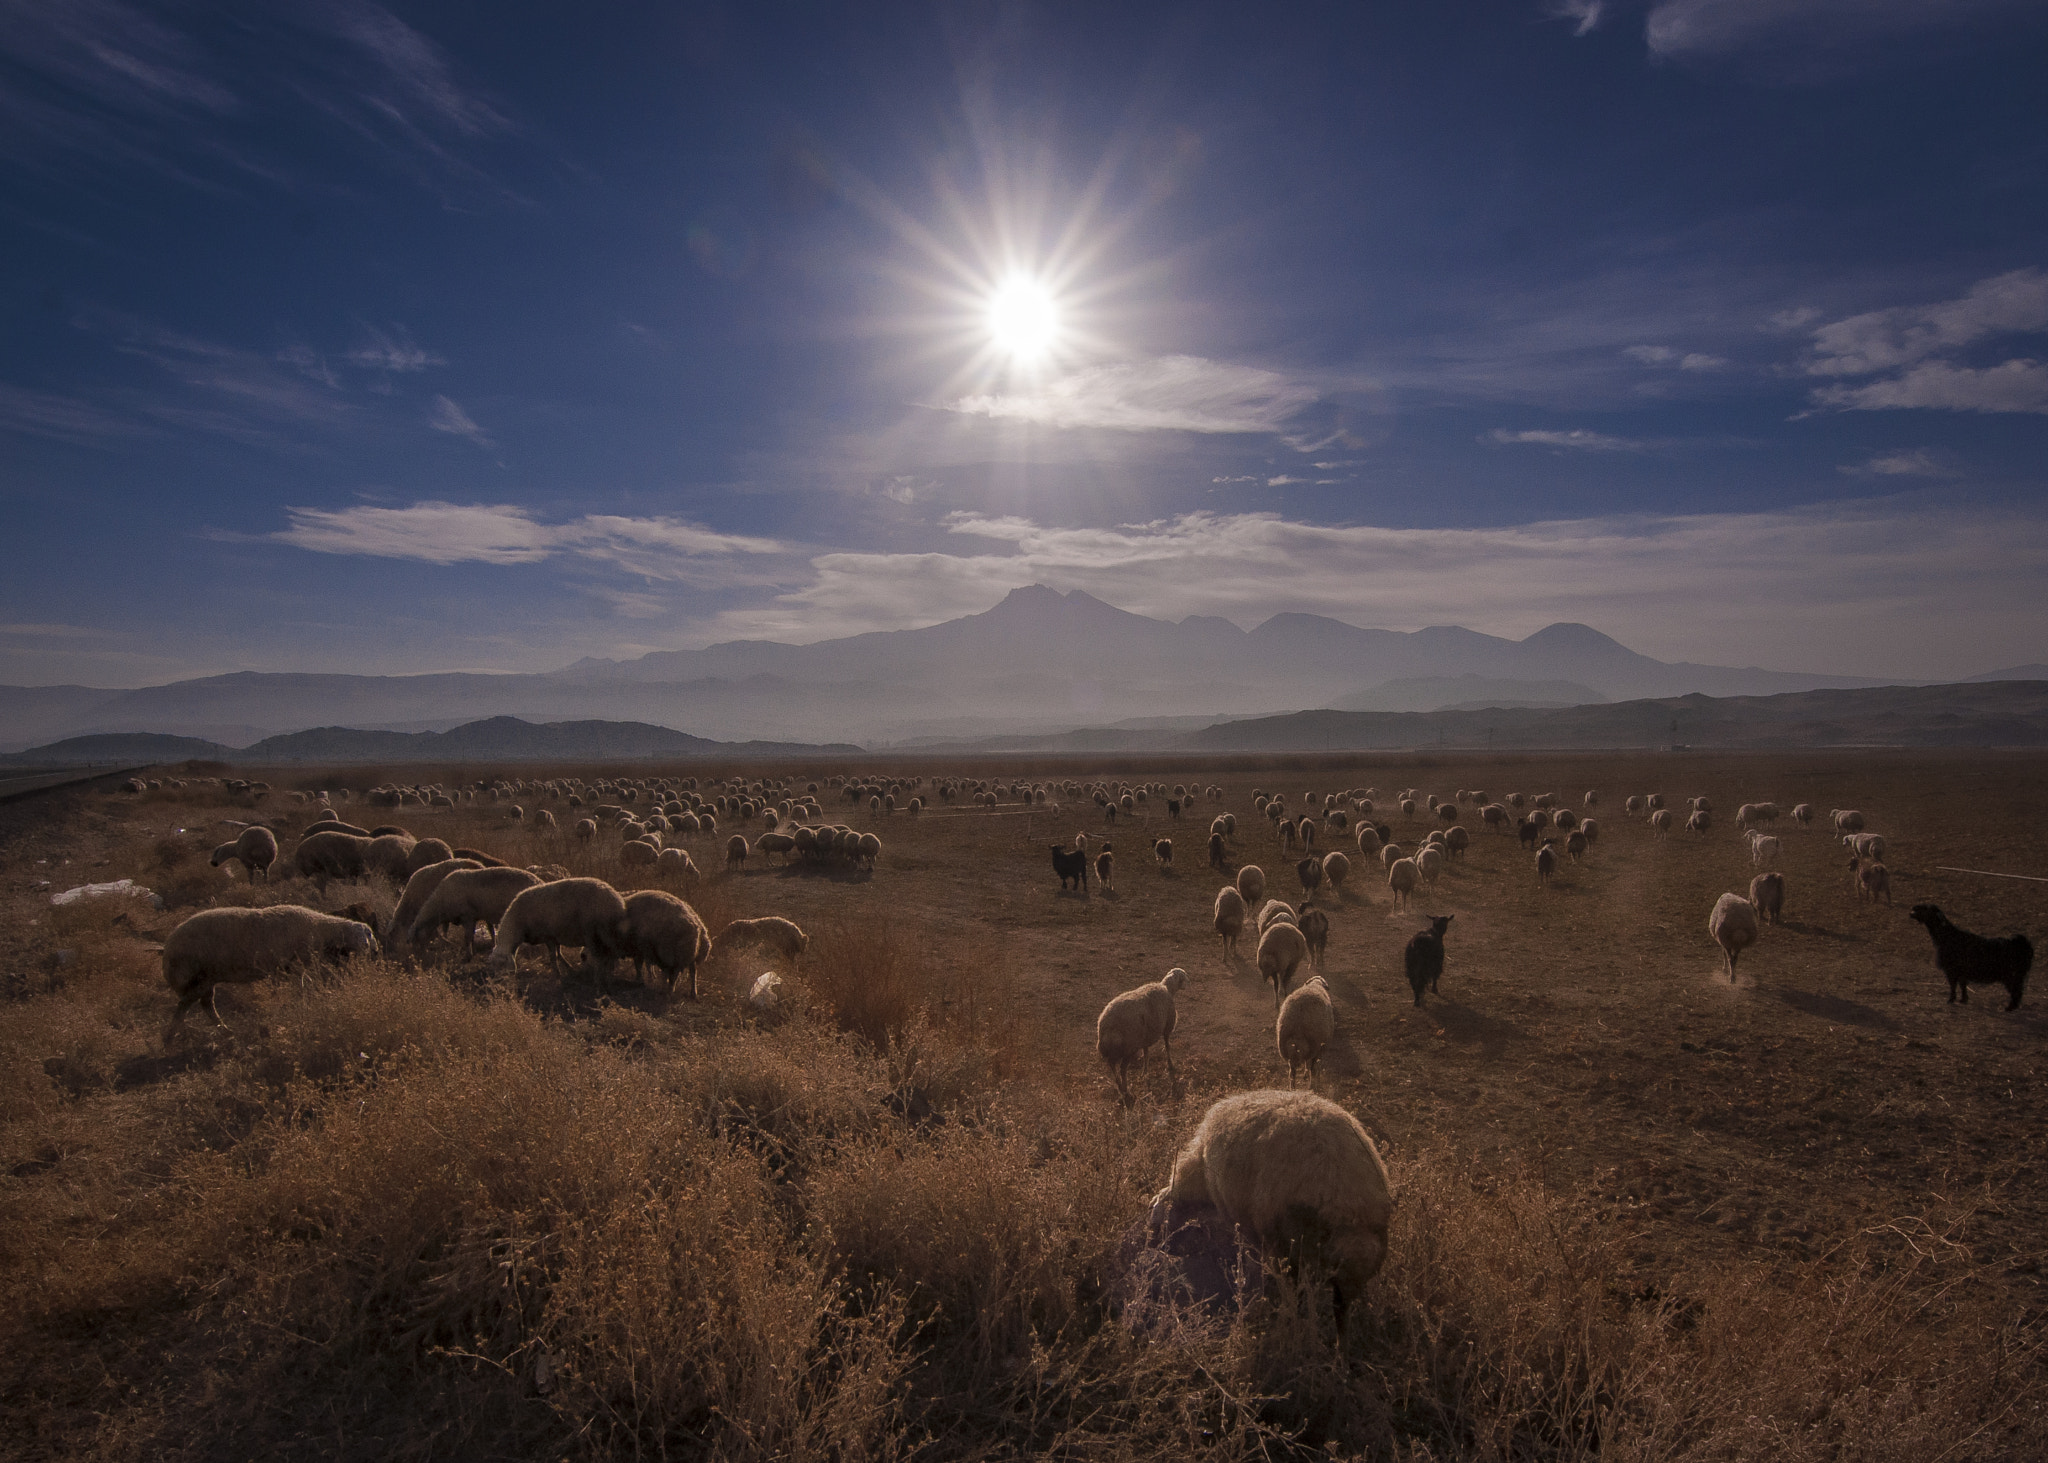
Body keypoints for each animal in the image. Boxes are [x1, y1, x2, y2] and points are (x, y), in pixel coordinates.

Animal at [161, 893, 378, 1032]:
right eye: (366, 935)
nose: (374, 950)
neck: (319, 929)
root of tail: (168, 945)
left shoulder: (290, 969)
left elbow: (301, 986)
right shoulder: (283, 968)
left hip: (206, 980)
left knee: (204, 1004)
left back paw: (223, 1031)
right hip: (194, 977)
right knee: (186, 1005)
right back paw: (172, 1037)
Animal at [489, 876, 630, 979]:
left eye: (502, 964)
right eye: (492, 965)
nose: (496, 981)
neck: (518, 924)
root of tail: (618, 901)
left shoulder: (549, 937)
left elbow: (553, 957)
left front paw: (557, 975)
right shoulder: (555, 936)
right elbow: (559, 954)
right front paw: (569, 969)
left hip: (597, 933)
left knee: (603, 956)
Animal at [1097, 963, 1196, 1098]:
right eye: (1185, 976)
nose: (1190, 983)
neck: (1167, 988)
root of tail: (1108, 1027)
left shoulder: (1145, 1037)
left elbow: (1146, 1054)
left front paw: (1145, 1071)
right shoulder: (1167, 1027)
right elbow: (1167, 1046)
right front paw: (1170, 1065)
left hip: (1115, 1051)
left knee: (1112, 1066)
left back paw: (1120, 1087)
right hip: (1129, 1047)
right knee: (1122, 1069)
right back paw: (1126, 1090)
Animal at [1146, 1081, 1400, 1335]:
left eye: (1156, 1220)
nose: (1151, 1245)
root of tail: (1347, 1200)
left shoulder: (1253, 1228)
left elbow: (1253, 1261)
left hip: (1290, 1242)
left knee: (1297, 1288)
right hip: (1353, 1261)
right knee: (1338, 1303)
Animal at [1900, 901, 2031, 1004]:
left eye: (1927, 908)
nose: (1914, 907)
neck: (1948, 937)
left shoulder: (1951, 969)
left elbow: (1953, 985)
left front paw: (1951, 999)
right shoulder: (1961, 971)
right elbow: (1962, 985)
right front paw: (1963, 1000)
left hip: (2011, 974)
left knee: (2017, 991)